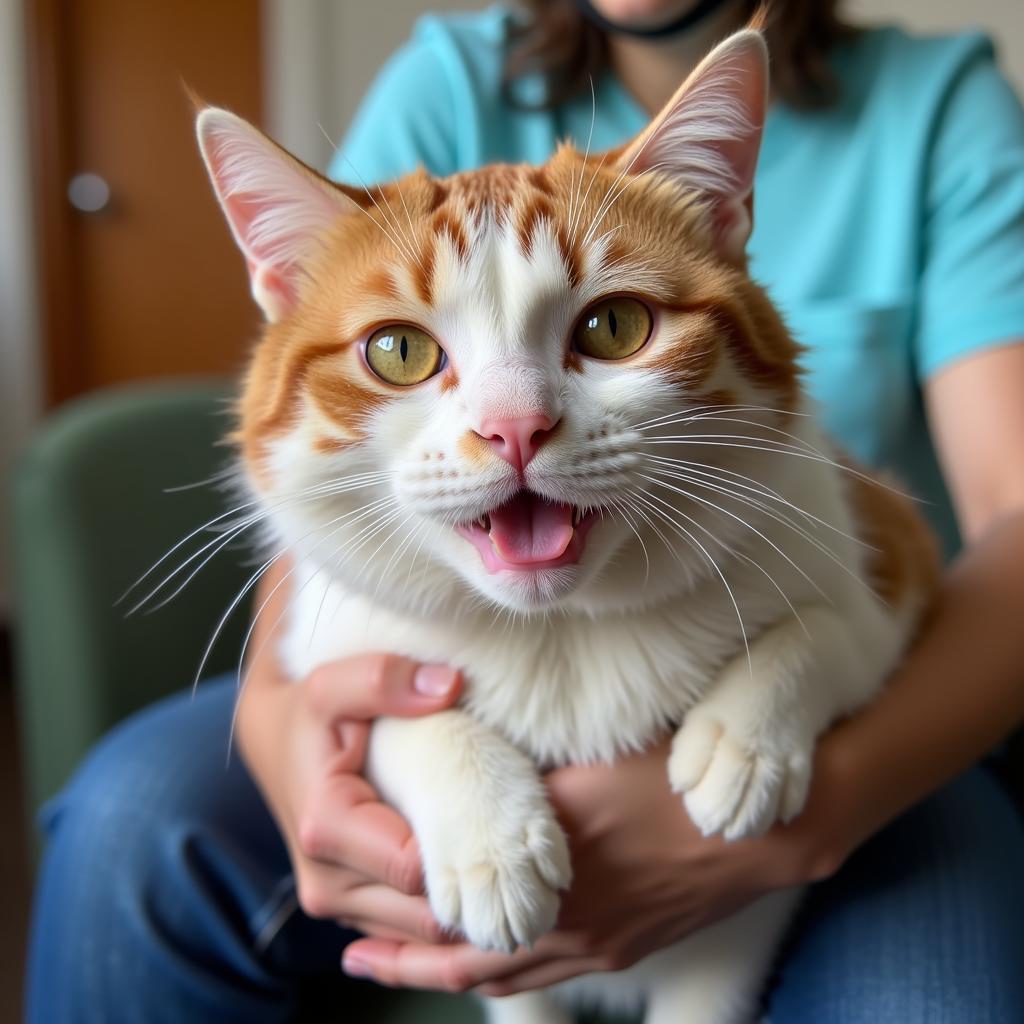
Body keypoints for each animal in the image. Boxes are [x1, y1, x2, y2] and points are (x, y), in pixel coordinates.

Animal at [193, 24, 937, 1024]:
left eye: (615, 326)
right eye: (399, 351)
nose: (515, 427)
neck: (561, 638)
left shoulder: (894, 550)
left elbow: (839, 628)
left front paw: (745, 737)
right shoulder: (334, 652)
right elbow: (391, 713)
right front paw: (486, 832)